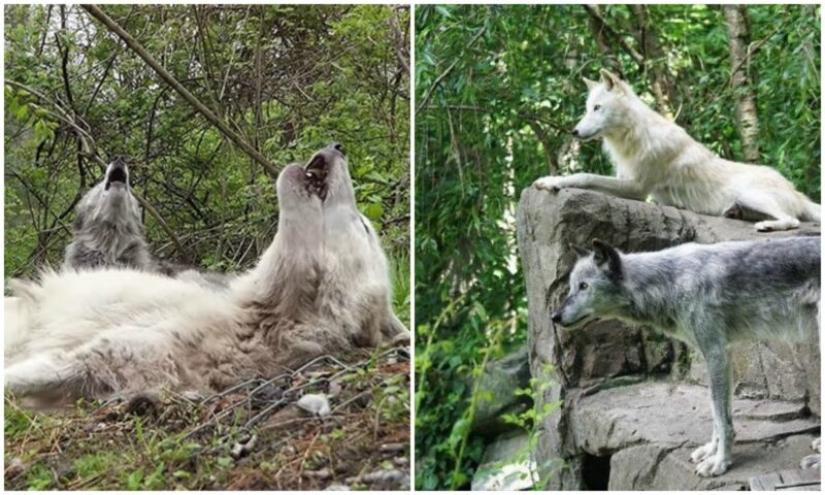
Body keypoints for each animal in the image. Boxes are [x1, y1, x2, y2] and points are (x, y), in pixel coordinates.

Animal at [533, 69, 821, 232]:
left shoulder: (638, 189)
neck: (633, 137)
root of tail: (795, 191)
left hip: (749, 193)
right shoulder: (626, 179)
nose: (574, 132)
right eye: (587, 109)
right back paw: (737, 213)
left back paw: (768, 224)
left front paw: (551, 181)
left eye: (597, 108)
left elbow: (585, 175)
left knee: (793, 220)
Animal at [551, 237, 821, 476]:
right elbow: (717, 414)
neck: (669, 282)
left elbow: (721, 418)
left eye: (584, 286)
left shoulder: (715, 354)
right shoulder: (720, 355)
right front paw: (711, 451)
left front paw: (720, 463)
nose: (555, 316)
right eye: (573, 286)